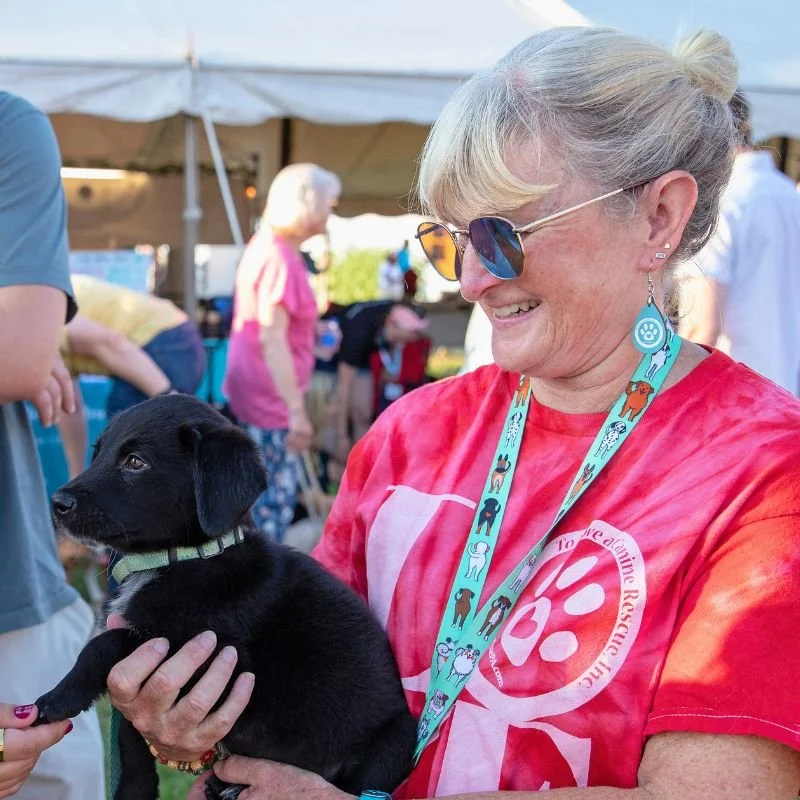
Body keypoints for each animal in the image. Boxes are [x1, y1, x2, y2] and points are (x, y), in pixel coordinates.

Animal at [33, 395, 416, 800]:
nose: (57, 502)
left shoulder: (217, 667)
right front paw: (135, 788)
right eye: (97, 453)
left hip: (393, 742)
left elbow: (106, 644)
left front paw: (58, 697)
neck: (181, 559)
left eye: (135, 462)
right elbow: (129, 727)